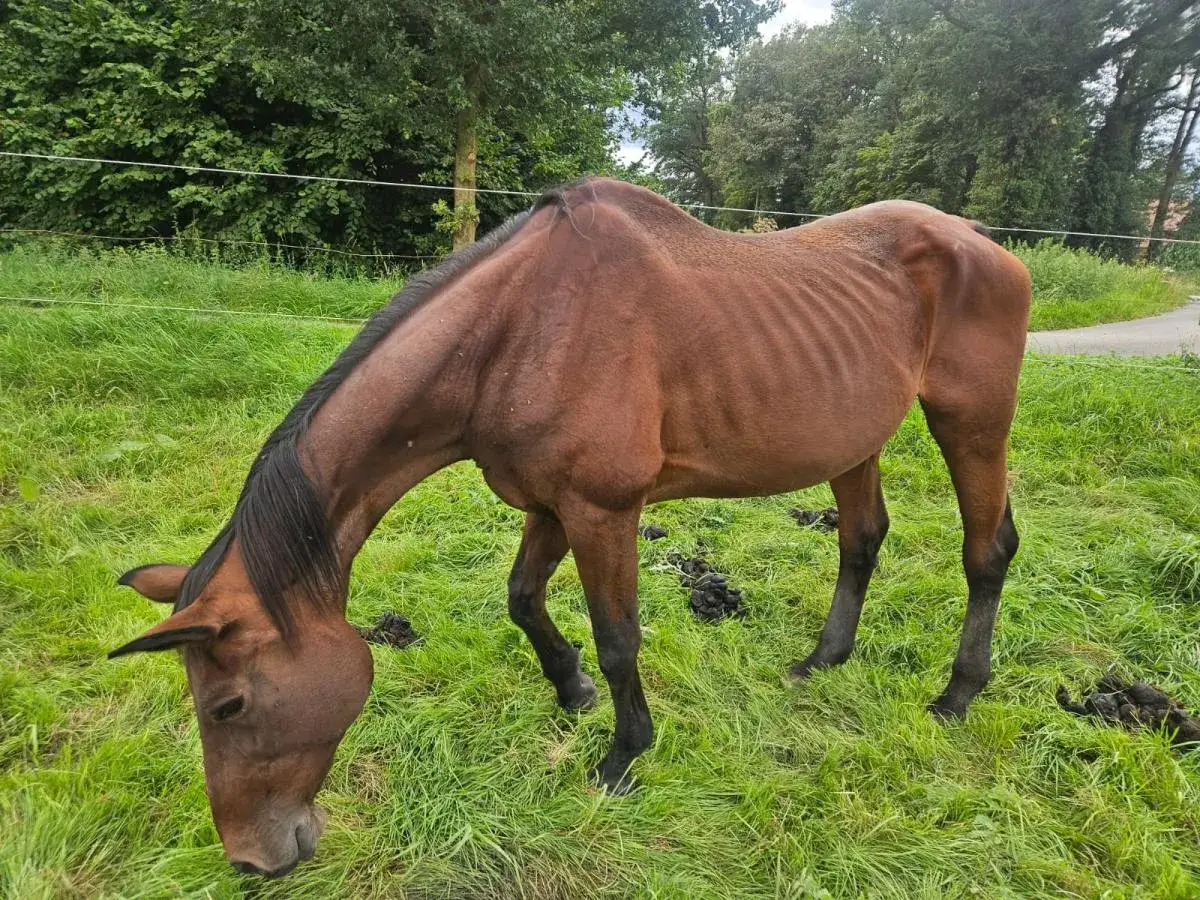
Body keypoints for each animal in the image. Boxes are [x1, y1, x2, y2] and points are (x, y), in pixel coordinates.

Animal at [109, 177, 1030, 877]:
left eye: (227, 705)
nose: (251, 860)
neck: (516, 333)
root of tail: (983, 242)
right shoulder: (552, 505)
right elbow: (523, 600)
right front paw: (572, 688)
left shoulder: (603, 510)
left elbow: (620, 636)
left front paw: (622, 755)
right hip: (853, 437)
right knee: (860, 537)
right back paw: (824, 659)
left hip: (972, 423)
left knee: (987, 551)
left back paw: (957, 693)